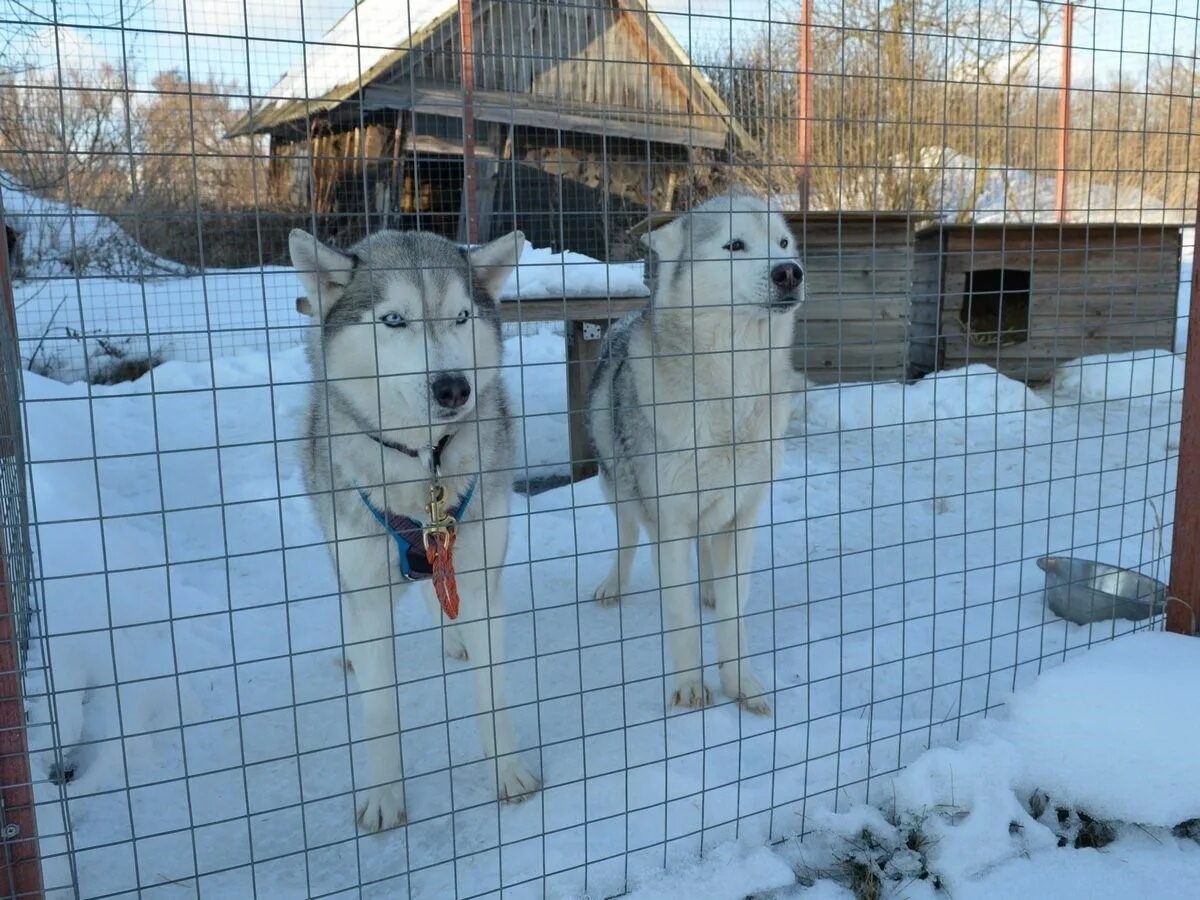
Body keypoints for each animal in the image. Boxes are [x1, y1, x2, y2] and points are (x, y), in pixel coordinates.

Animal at [290, 225, 540, 830]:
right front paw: (384, 798)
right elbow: (380, 712)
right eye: (394, 320)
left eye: (462, 316)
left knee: (439, 590)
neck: (425, 469)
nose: (453, 388)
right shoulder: (367, 589)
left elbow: (492, 692)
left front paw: (508, 772)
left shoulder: (478, 572)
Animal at [583, 194, 806, 715]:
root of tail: (624, 319)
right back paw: (614, 585)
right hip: (618, 487)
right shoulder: (670, 522)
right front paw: (690, 688)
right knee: (627, 537)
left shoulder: (743, 517)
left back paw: (708, 588)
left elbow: (733, 614)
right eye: (735, 245)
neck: (731, 386)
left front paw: (741, 684)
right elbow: (681, 617)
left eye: (783, 243)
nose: (789, 272)